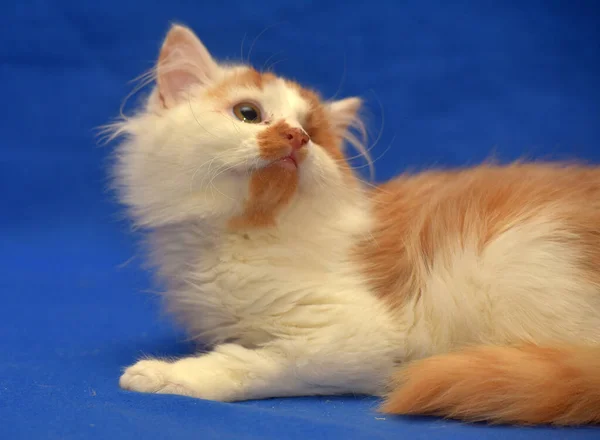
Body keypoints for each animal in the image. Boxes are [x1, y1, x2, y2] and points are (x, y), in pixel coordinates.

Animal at [109, 24, 600, 426]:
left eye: (312, 132)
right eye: (247, 113)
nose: (296, 138)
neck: (244, 234)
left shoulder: (355, 334)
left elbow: (249, 362)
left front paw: (163, 373)